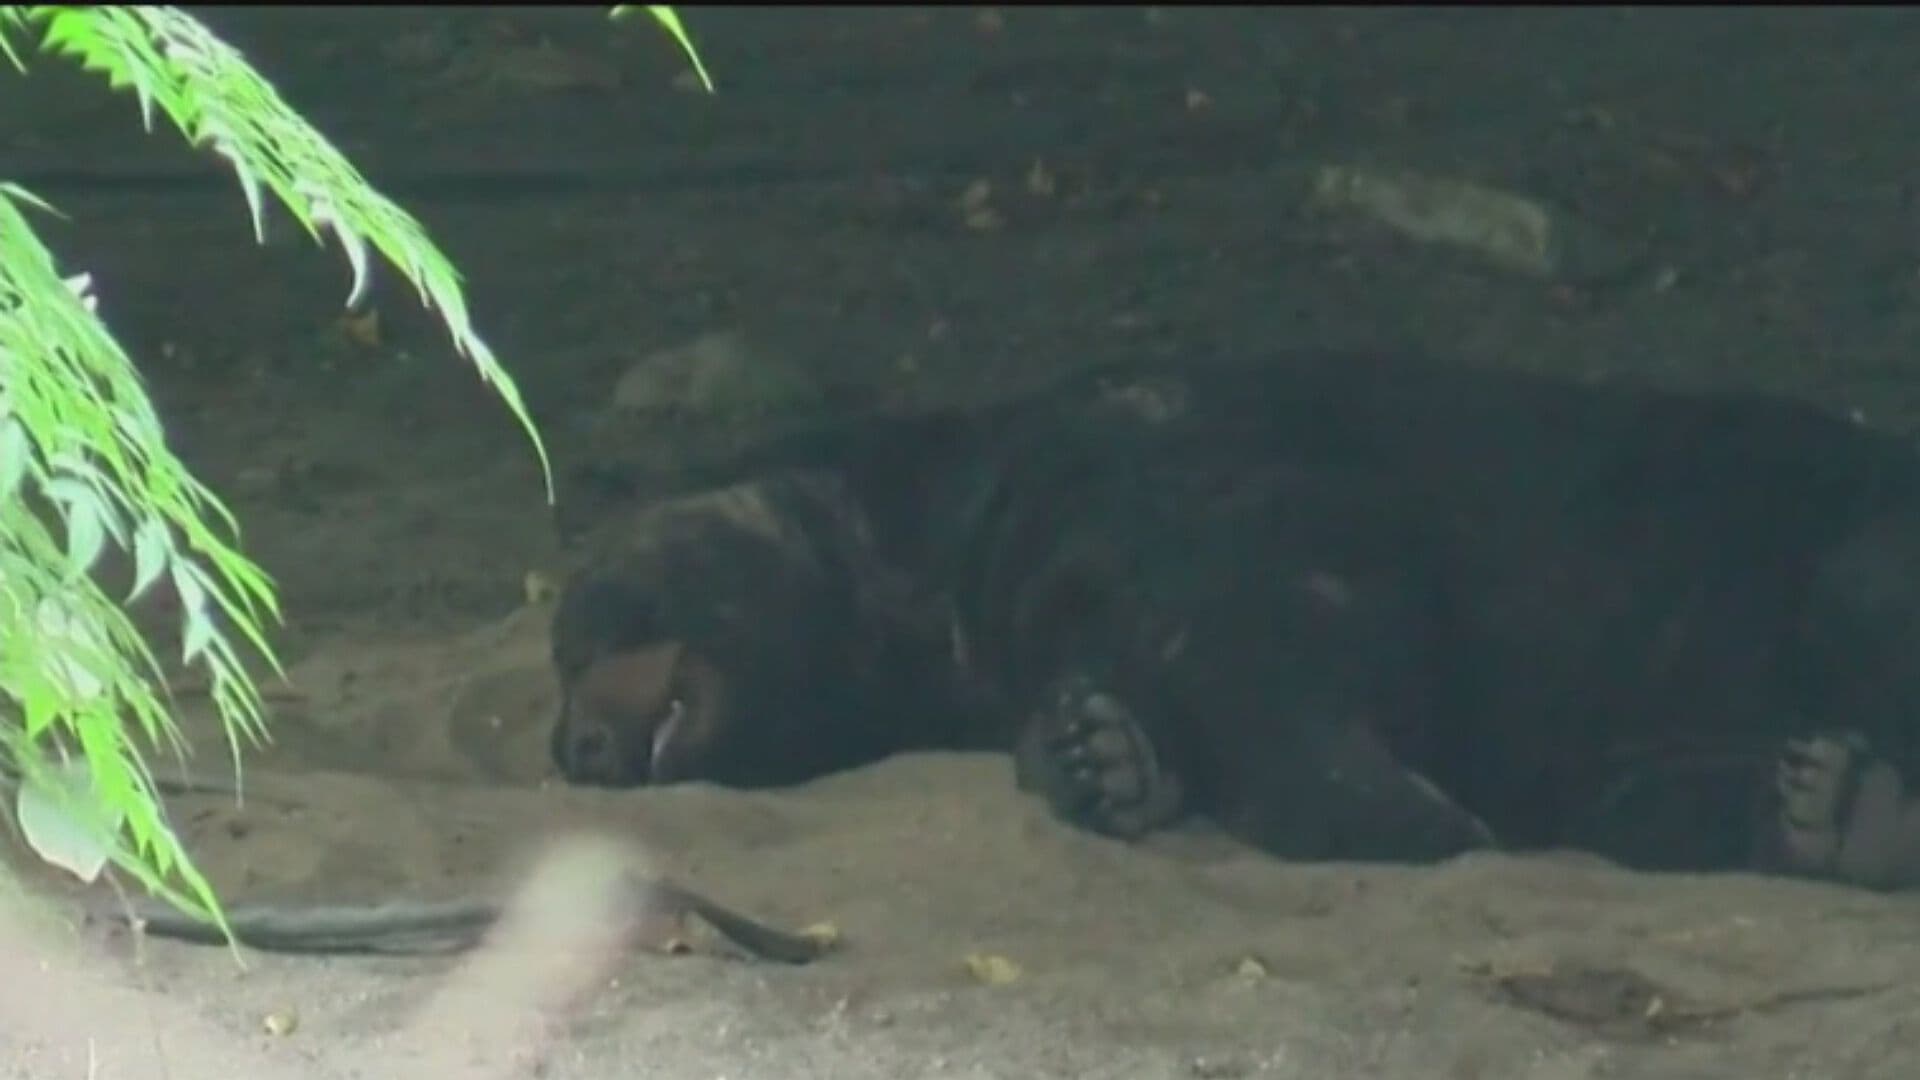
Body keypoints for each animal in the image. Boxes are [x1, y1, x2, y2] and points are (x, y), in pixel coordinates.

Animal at [548, 349, 1920, 890]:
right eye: (563, 666)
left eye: (581, 622)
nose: (574, 742)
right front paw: (1100, 753)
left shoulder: (1169, 463)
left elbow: (1275, 616)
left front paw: (1391, 809)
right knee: (1661, 789)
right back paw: (1835, 807)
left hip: (1835, 532)